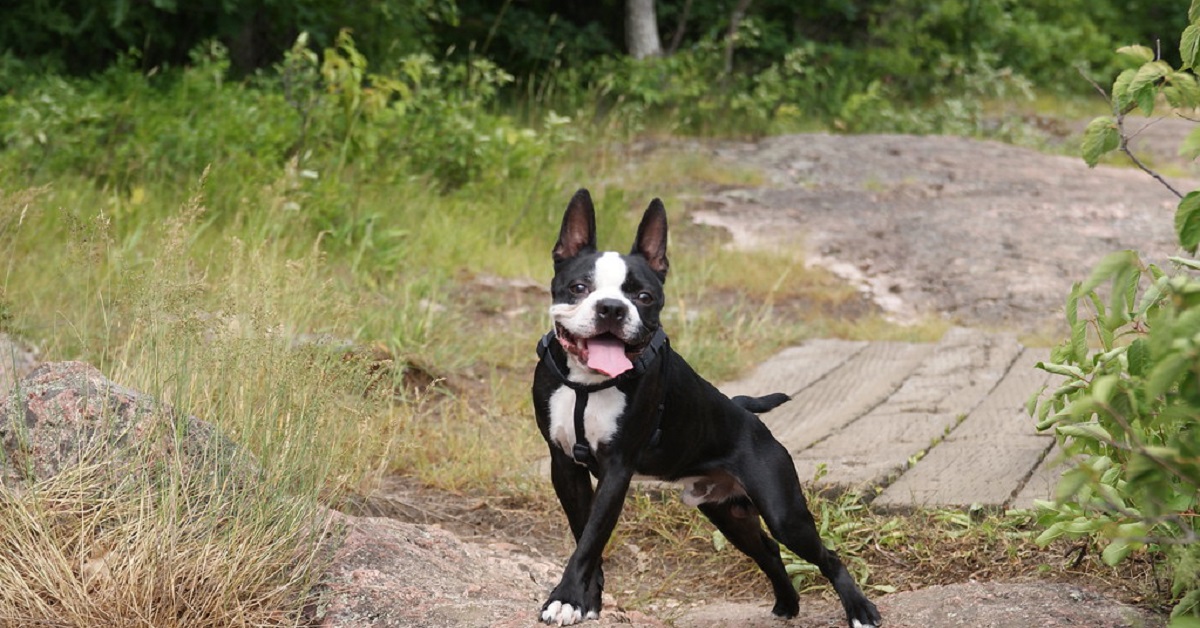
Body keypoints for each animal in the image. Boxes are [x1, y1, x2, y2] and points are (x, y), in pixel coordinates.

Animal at [532, 190, 883, 628]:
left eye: (643, 297)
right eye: (579, 287)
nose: (612, 307)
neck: (589, 383)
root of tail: (743, 411)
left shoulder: (616, 472)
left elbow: (591, 537)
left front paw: (565, 599)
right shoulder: (565, 466)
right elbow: (586, 536)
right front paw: (586, 600)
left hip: (785, 514)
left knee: (825, 555)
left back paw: (860, 610)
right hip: (728, 513)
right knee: (767, 550)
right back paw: (788, 603)